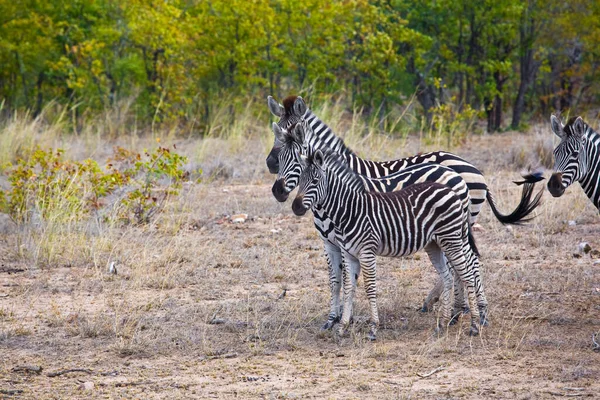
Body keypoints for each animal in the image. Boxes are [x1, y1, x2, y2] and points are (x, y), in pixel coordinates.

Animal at [274, 119, 490, 324]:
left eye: (295, 161)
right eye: (278, 157)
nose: (277, 191)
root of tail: (457, 174)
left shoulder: (349, 242)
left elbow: (347, 279)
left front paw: (347, 317)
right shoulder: (330, 244)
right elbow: (336, 281)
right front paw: (334, 318)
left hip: (457, 229)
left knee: (469, 262)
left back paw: (479, 312)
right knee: (457, 266)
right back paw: (456, 311)